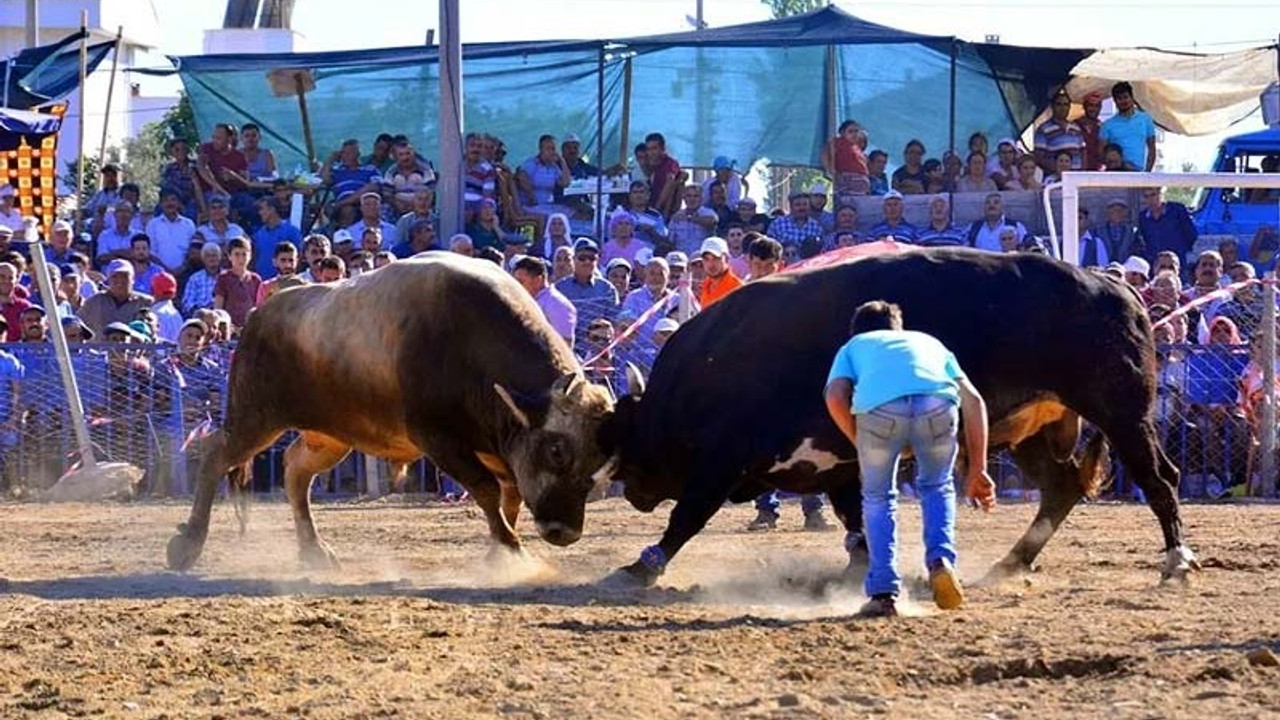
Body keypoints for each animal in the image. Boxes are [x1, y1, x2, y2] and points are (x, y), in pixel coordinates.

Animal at [167, 254, 616, 568]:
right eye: (557, 451)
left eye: (602, 457)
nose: (563, 531)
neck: (470, 343)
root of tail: (261, 314)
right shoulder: (439, 440)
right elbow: (487, 489)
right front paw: (511, 550)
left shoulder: (496, 443)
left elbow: (511, 495)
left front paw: (498, 549)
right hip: (255, 417)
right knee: (215, 456)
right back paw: (188, 545)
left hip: (330, 436)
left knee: (295, 471)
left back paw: (315, 551)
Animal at [599, 249, 1198, 586]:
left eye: (627, 439)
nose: (632, 489)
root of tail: (1114, 286)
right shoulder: (840, 464)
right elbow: (856, 519)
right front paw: (857, 568)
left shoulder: (720, 461)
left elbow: (688, 517)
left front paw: (643, 566)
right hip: (1033, 428)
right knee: (1061, 488)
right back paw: (1012, 561)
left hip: (1124, 413)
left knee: (1158, 478)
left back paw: (1177, 559)